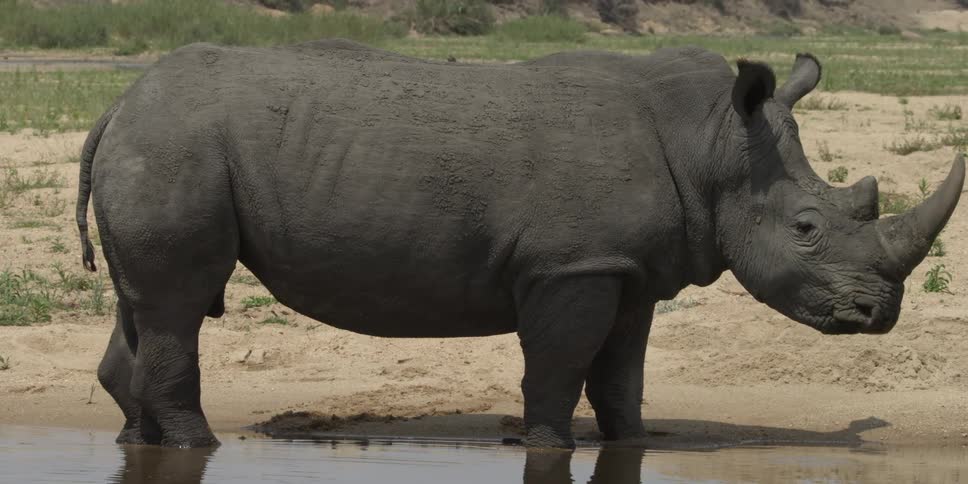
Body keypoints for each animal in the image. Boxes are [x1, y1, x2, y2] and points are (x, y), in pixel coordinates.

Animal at [77, 40, 964, 449]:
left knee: (145, 304)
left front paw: (632, 443)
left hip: (163, 145)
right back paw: (196, 445)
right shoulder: (572, 264)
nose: (878, 314)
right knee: (178, 304)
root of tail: (116, 104)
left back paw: (136, 441)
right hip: (176, 145)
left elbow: (622, 370)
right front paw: (546, 443)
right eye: (808, 230)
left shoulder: (628, 268)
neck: (714, 143)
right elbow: (562, 362)